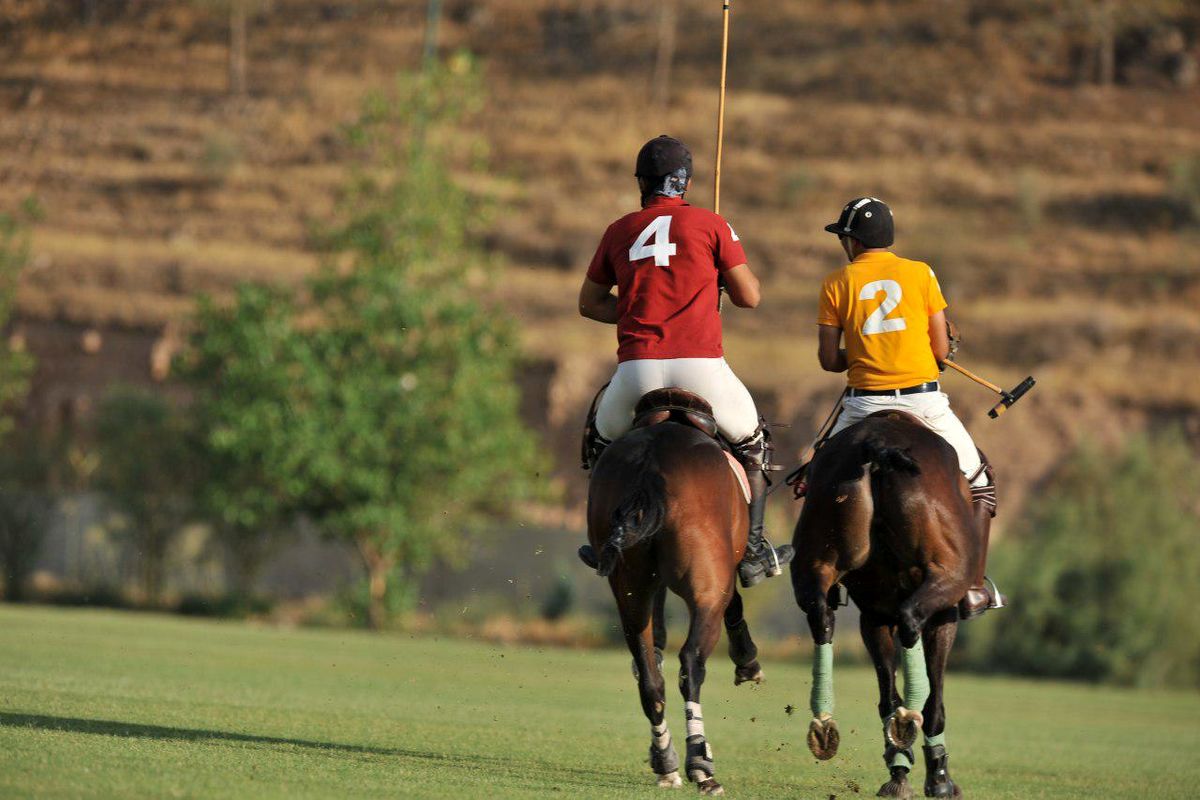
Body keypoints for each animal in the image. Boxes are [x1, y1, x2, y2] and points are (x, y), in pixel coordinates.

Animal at [585, 388, 763, 796]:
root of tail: (651, 466)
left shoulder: (653, 585)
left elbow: (654, 653)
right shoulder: (721, 575)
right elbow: (734, 605)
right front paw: (748, 661)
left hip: (630, 588)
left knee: (650, 676)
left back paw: (667, 762)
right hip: (706, 585)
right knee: (692, 661)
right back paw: (701, 764)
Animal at [792, 412, 979, 800]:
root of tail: (879, 445)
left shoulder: (874, 615)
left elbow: (886, 691)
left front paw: (899, 772)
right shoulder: (945, 614)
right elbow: (936, 698)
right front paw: (938, 778)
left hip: (815, 558)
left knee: (821, 616)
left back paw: (825, 725)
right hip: (947, 575)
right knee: (911, 621)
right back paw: (907, 725)